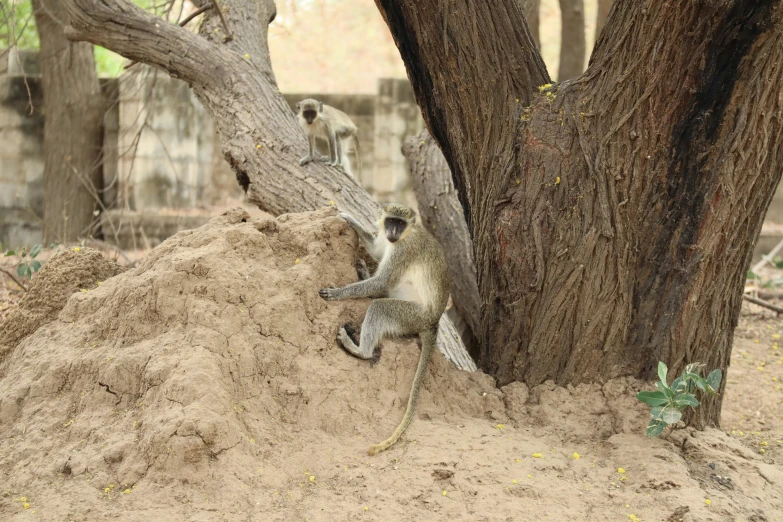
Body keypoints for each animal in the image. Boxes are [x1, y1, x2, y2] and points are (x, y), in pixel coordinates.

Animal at [61, 0, 783, 426]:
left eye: (402, 223)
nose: (388, 227)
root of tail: (436, 319)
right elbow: (368, 253)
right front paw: (344, 232)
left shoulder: (405, 251)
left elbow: (382, 280)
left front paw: (335, 288)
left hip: (411, 317)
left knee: (386, 309)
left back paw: (363, 347)